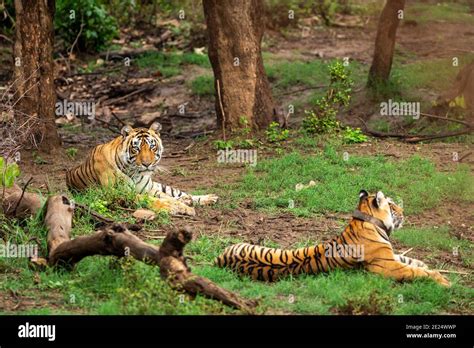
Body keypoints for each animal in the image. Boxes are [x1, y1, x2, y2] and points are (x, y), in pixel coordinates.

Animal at [65, 122, 218, 215]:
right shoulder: (120, 194)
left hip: (158, 185)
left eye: (152, 147)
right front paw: (177, 207)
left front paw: (184, 205)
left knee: (178, 193)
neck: (135, 173)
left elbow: (166, 197)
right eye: (136, 148)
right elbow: (156, 200)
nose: (147, 163)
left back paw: (208, 198)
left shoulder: (148, 189)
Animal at [217, 190, 450, 286]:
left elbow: (412, 260)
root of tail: (219, 259)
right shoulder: (387, 266)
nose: (404, 212)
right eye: (392, 205)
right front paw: (443, 280)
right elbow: (415, 271)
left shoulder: (391, 256)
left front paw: (428, 265)